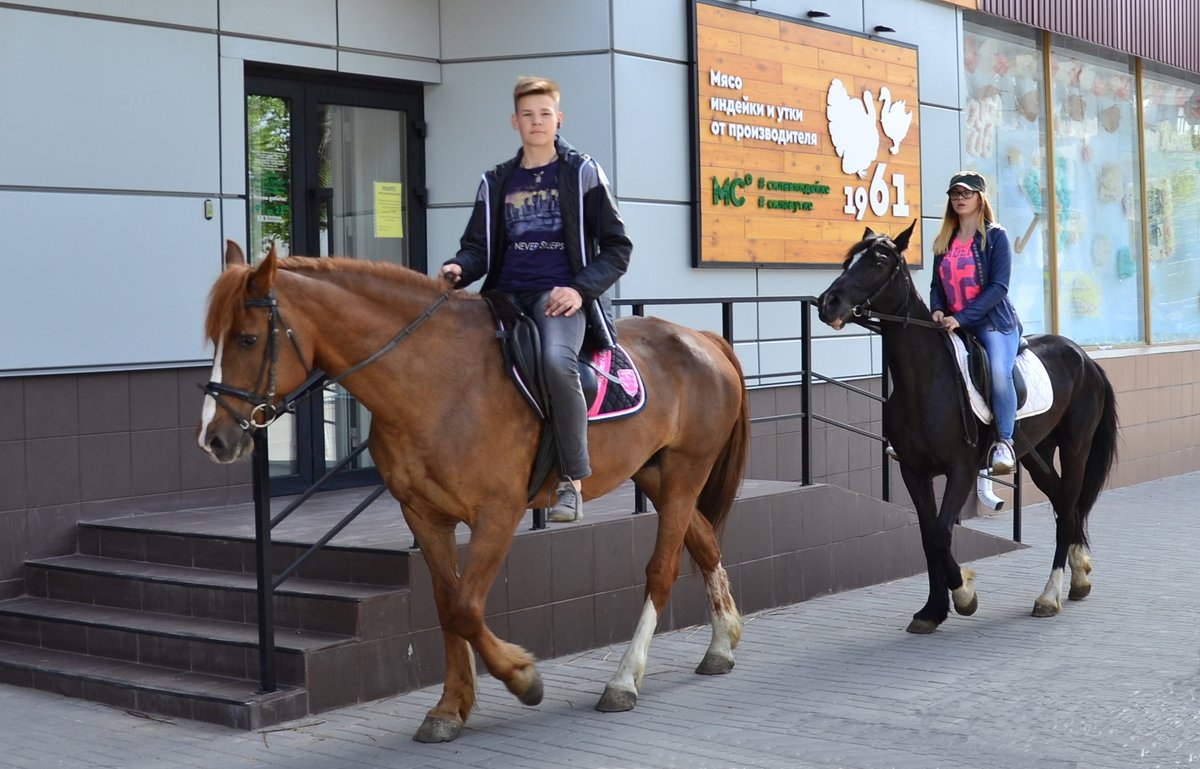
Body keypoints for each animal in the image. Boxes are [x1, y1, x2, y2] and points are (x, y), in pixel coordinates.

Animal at [194, 242, 748, 739]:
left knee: (662, 569)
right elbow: (447, 608)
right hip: (655, 474)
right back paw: (721, 645)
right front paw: (448, 708)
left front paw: (523, 678)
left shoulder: (497, 513)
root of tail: (701, 337)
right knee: (704, 542)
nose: (213, 439)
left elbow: (465, 608)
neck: (434, 381)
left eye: (247, 339)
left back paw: (624, 681)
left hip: (685, 472)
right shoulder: (423, 515)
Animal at [816, 221, 1113, 628]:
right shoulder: (913, 471)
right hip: (1037, 451)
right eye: (849, 260)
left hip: (1075, 447)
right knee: (1062, 503)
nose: (827, 303)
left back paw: (1049, 596)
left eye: (877, 261)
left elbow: (942, 532)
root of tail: (1085, 357)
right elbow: (928, 536)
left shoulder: (962, 469)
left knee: (1068, 507)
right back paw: (1079, 576)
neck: (925, 381)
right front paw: (932, 610)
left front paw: (964, 594)